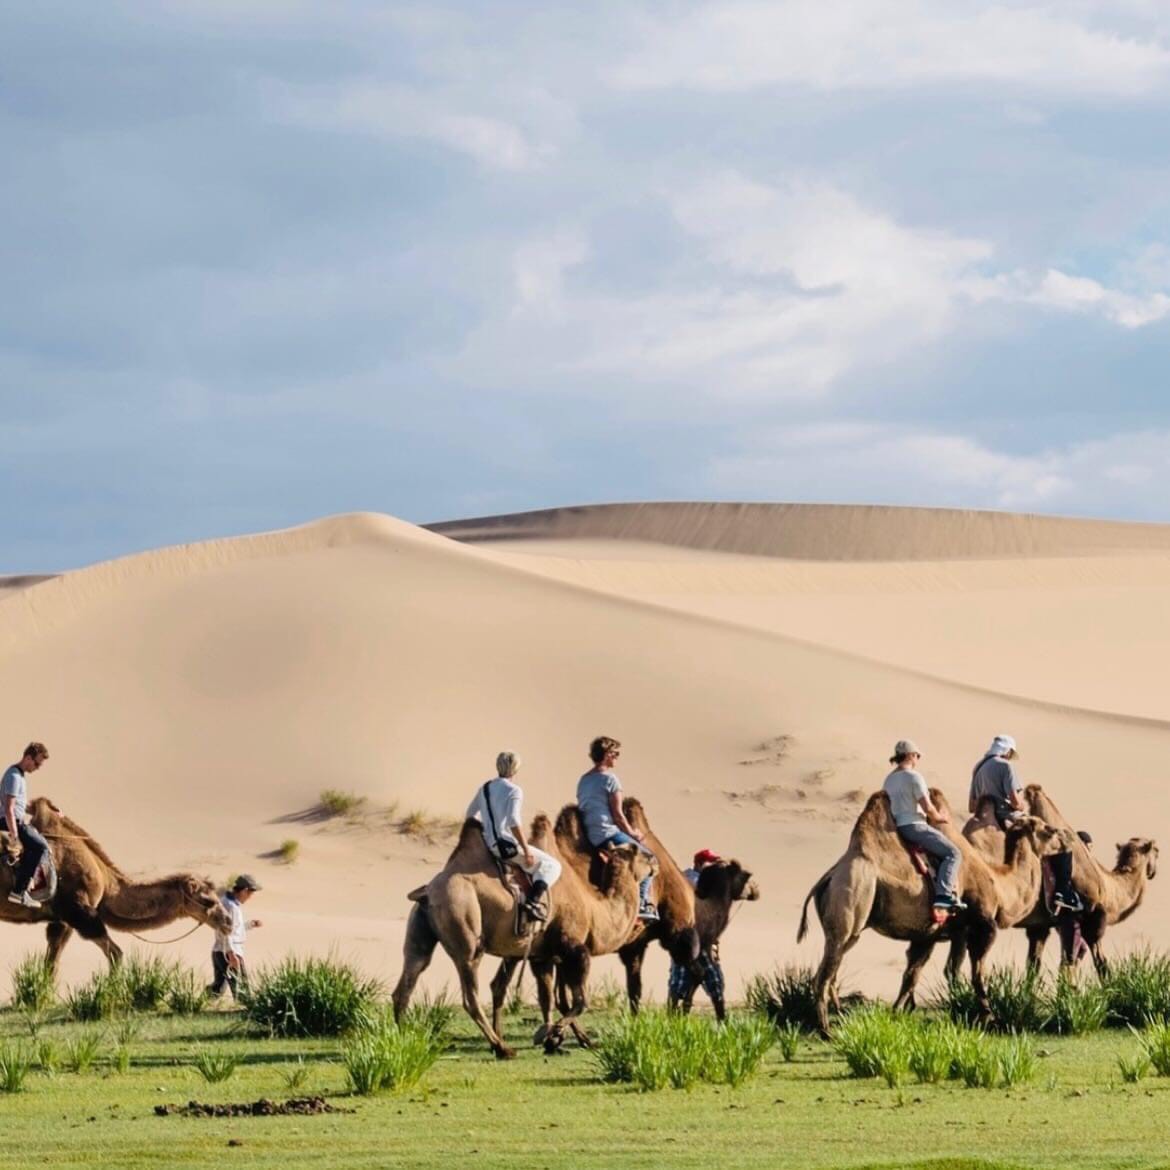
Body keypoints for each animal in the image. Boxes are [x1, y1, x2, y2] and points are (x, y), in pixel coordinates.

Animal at [0, 795, 232, 968]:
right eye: (208, 900)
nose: (228, 922)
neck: (106, 883)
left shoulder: (62, 920)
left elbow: (51, 963)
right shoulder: (79, 912)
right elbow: (116, 954)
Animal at [393, 814, 659, 1062]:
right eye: (640, 852)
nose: (655, 860)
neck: (596, 911)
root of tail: (428, 891)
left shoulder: (542, 955)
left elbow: (547, 998)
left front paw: (553, 1040)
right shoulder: (574, 948)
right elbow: (580, 1000)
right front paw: (557, 1035)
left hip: (421, 929)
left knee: (409, 979)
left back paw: (403, 1041)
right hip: (464, 925)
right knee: (470, 994)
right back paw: (502, 1048)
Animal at [795, 786, 1071, 1034]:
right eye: (1046, 829)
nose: (1063, 837)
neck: (1000, 886)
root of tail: (829, 876)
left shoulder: (933, 933)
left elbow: (915, 975)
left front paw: (898, 1013)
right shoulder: (983, 926)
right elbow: (975, 973)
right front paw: (985, 1015)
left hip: (853, 925)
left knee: (833, 967)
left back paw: (838, 1017)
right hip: (851, 899)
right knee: (825, 971)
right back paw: (826, 1029)